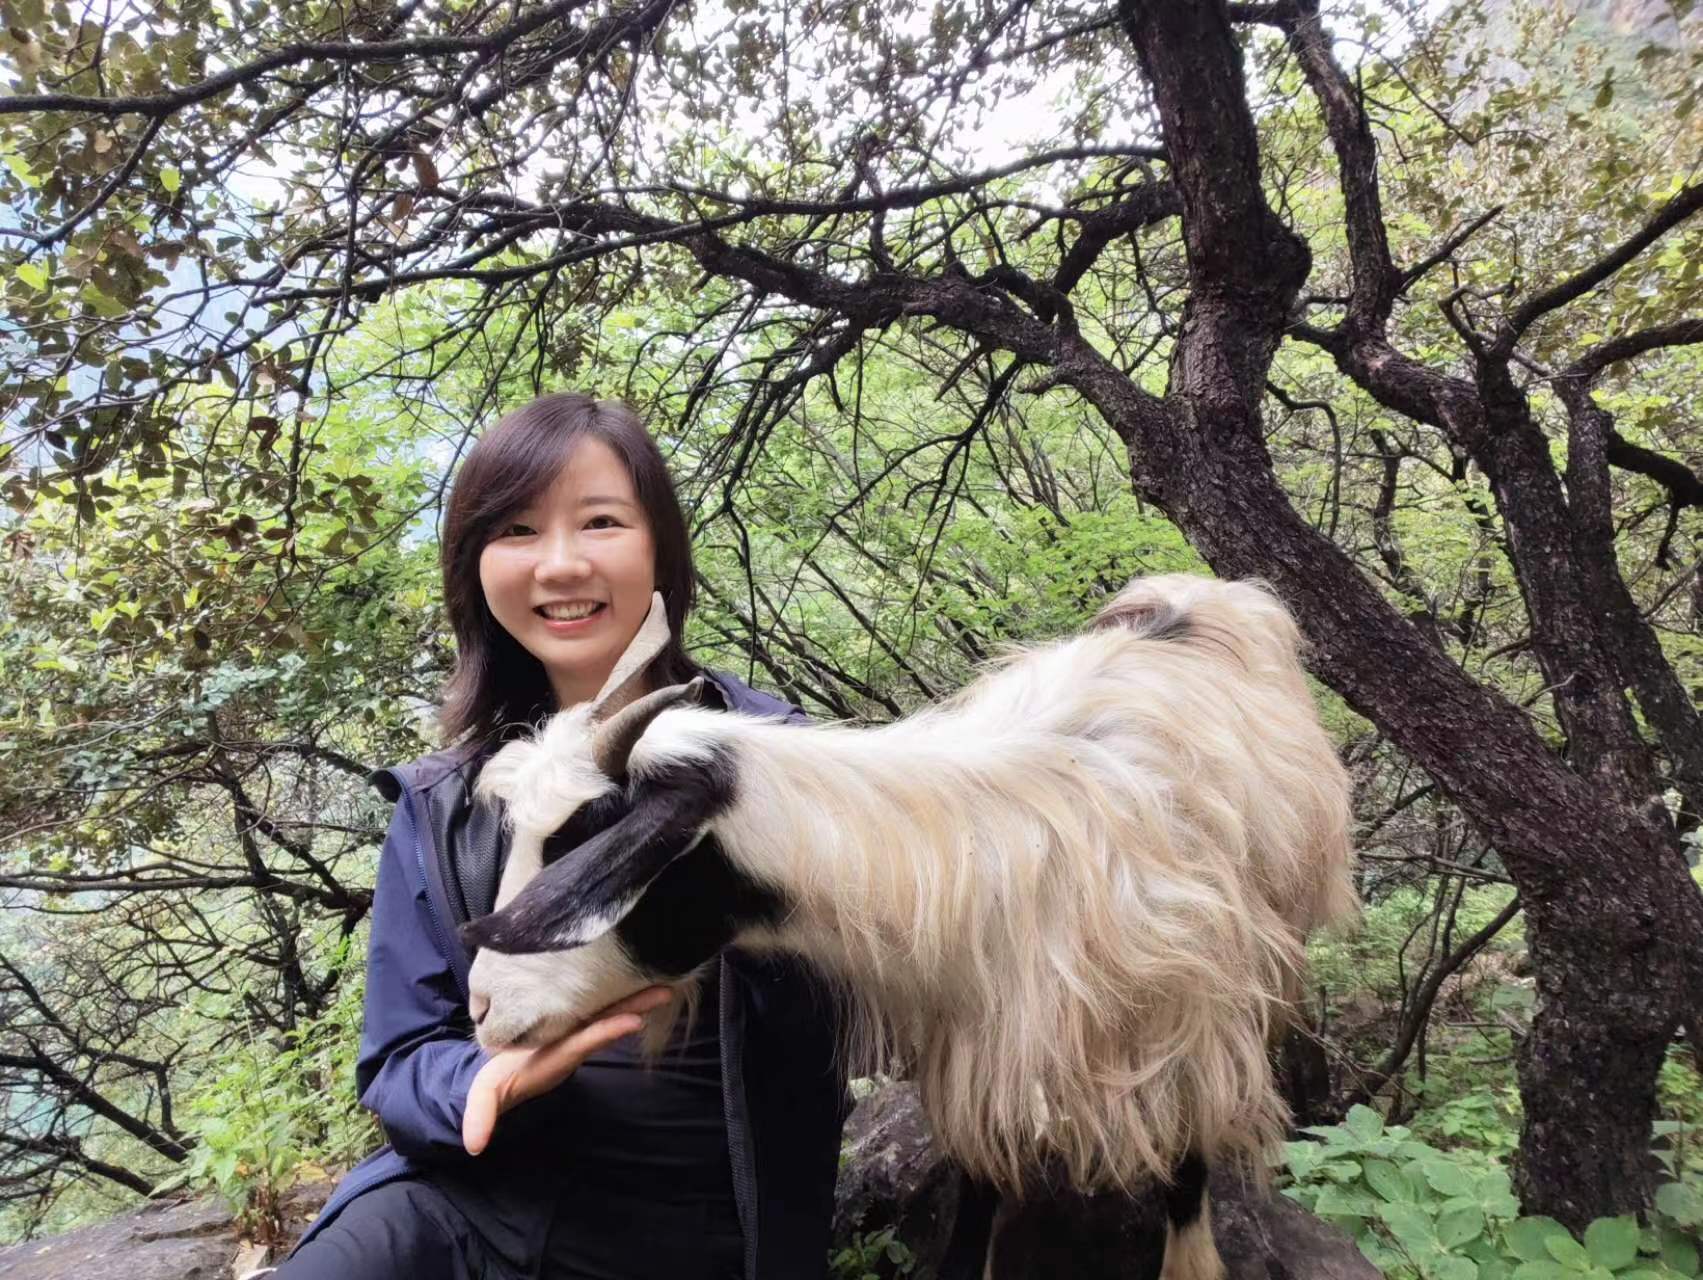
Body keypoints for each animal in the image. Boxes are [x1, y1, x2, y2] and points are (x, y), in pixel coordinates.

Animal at [462, 574, 1358, 1280]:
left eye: (585, 839)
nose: (481, 1009)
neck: (971, 844)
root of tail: (1201, 592)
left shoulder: (1190, 1022)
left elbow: (1185, 1172)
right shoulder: (981, 1045)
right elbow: (978, 1195)